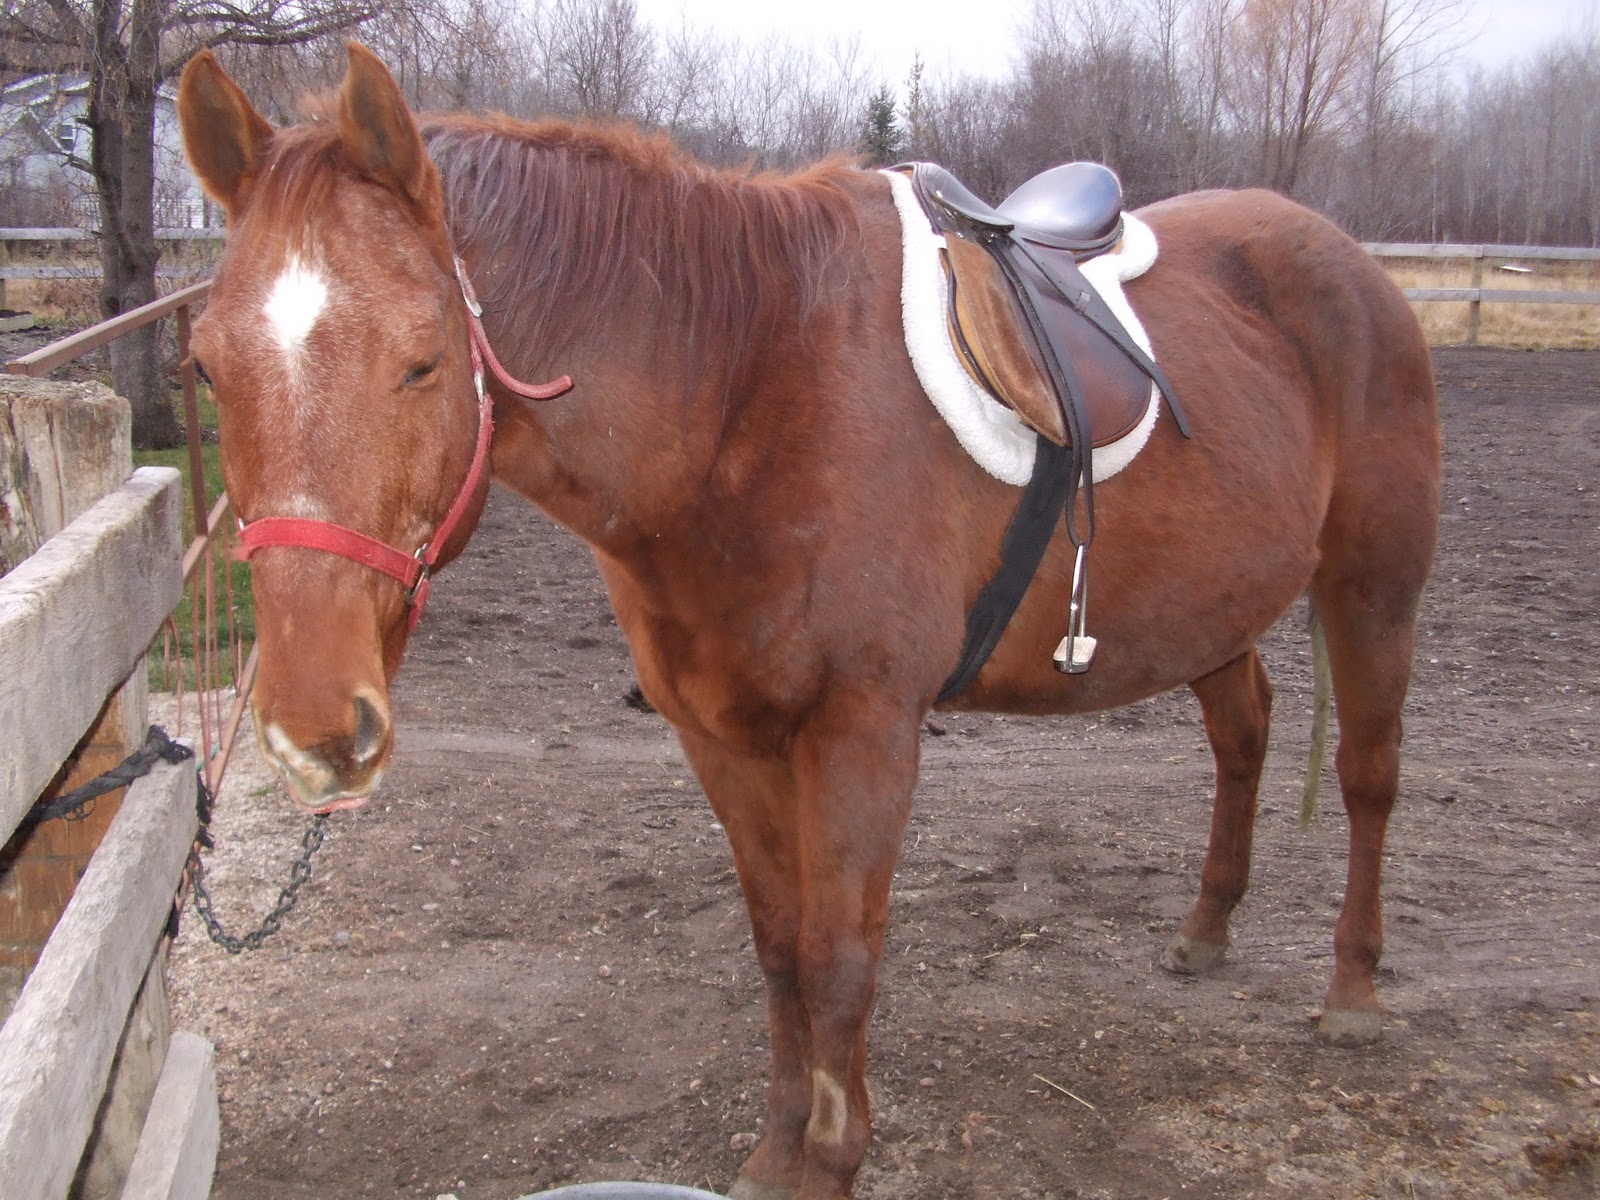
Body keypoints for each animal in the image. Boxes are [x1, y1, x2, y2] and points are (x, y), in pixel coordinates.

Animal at [176, 43, 1440, 1200]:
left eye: (422, 362)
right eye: (205, 369)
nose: (312, 727)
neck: (748, 385)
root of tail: (1348, 262)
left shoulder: (861, 733)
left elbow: (838, 957)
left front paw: (831, 1158)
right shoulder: (723, 736)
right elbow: (780, 946)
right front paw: (779, 1152)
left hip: (1372, 589)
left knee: (1369, 776)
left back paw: (1353, 990)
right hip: (1212, 613)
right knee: (1244, 732)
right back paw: (1208, 928)